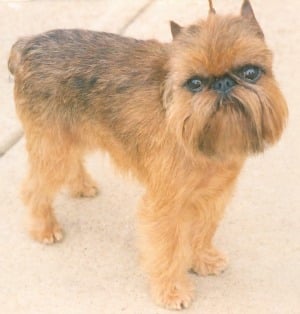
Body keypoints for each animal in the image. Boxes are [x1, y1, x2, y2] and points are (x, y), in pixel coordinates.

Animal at [8, 0, 288, 310]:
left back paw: (80, 186)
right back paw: (44, 227)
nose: (223, 83)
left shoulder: (212, 197)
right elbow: (168, 249)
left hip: (70, 137)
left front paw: (202, 259)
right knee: (34, 188)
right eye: (195, 84)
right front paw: (172, 290)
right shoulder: (164, 207)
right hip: (55, 147)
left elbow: (202, 230)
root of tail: (26, 45)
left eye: (251, 73)